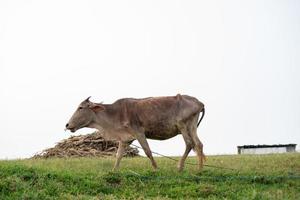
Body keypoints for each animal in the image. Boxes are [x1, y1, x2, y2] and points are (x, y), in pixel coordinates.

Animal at [65, 94, 206, 171]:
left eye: (80, 107)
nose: (67, 125)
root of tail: (199, 102)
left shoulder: (139, 133)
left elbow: (148, 151)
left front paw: (156, 169)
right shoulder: (125, 138)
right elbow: (118, 155)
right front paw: (114, 171)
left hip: (183, 126)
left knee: (189, 144)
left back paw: (180, 167)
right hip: (192, 127)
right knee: (198, 145)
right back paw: (199, 169)